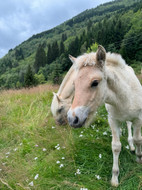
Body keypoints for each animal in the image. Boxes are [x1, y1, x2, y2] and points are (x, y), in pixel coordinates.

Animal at [67, 45, 142, 186]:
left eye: (95, 82)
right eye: (74, 84)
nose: (72, 119)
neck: (123, 97)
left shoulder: (138, 118)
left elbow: (138, 139)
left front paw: (139, 158)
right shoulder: (112, 120)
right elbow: (116, 146)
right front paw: (114, 178)